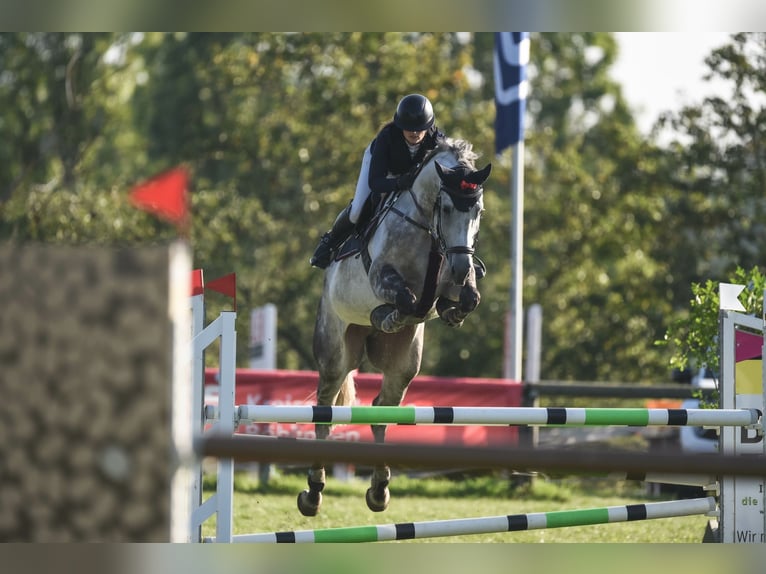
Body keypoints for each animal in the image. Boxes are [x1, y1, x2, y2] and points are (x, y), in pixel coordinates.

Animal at [299, 137, 491, 516]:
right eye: (447, 208)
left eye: (477, 210)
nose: (462, 267)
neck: (428, 229)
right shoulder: (382, 277)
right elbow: (406, 300)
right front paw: (389, 314)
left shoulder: (455, 282)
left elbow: (466, 299)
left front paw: (450, 310)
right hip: (335, 351)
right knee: (325, 407)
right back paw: (313, 493)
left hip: (403, 362)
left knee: (381, 408)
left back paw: (379, 490)